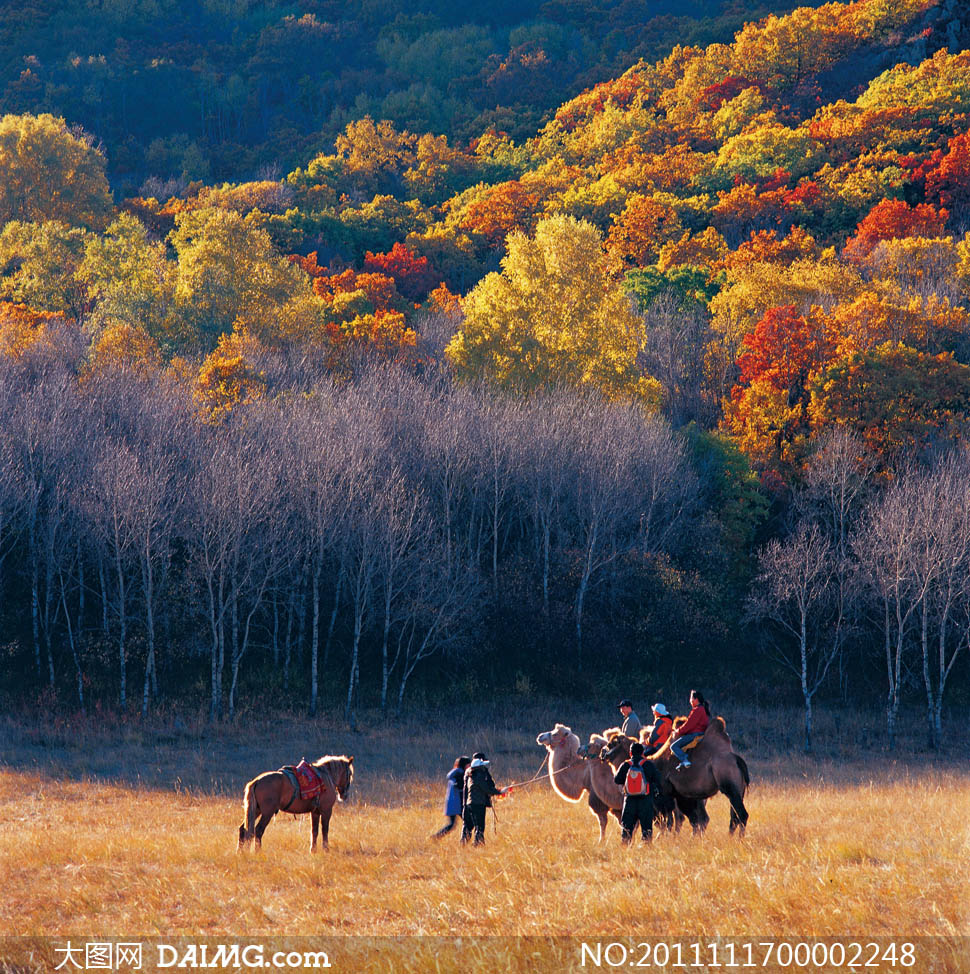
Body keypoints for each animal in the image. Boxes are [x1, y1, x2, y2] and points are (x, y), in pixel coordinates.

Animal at [600, 720, 752, 836]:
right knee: (730, 817)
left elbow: (666, 821)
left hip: (729, 786)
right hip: (737, 790)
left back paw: (738, 839)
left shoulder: (664, 796)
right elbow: (688, 820)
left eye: (612, 743)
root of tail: (736, 759)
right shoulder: (681, 795)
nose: (603, 754)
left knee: (740, 815)